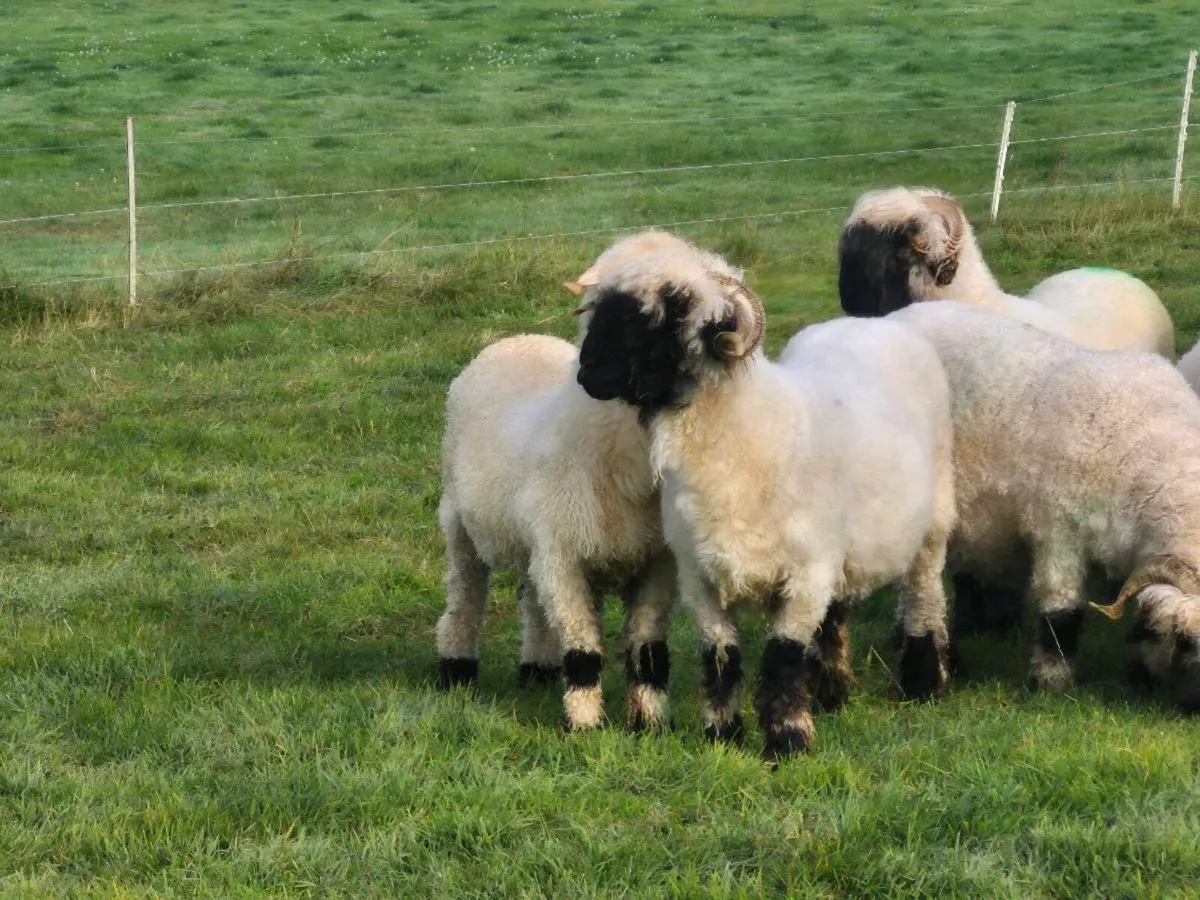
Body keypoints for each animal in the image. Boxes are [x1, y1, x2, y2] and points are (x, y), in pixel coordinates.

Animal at [436, 230, 745, 731]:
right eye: (600, 306)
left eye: (677, 308)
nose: (590, 375)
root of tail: (517, 339)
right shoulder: (564, 559)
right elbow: (583, 653)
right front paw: (583, 727)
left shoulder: (653, 563)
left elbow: (648, 652)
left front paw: (649, 724)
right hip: (459, 524)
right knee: (465, 597)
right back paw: (456, 670)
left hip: (534, 541)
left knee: (532, 603)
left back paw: (537, 671)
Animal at [575, 247, 956, 761]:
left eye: (670, 312)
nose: (587, 373)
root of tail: (874, 324)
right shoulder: (700, 577)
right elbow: (721, 658)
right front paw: (723, 737)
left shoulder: (806, 575)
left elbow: (782, 659)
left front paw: (787, 742)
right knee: (834, 618)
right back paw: (832, 693)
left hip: (932, 522)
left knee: (924, 597)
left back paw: (922, 683)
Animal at [891, 300, 1200, 712]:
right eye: (1183, 640)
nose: (1195, 705)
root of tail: (899, 315)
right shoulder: (1059, 526)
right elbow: (1061, 610)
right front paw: (1050, 684)